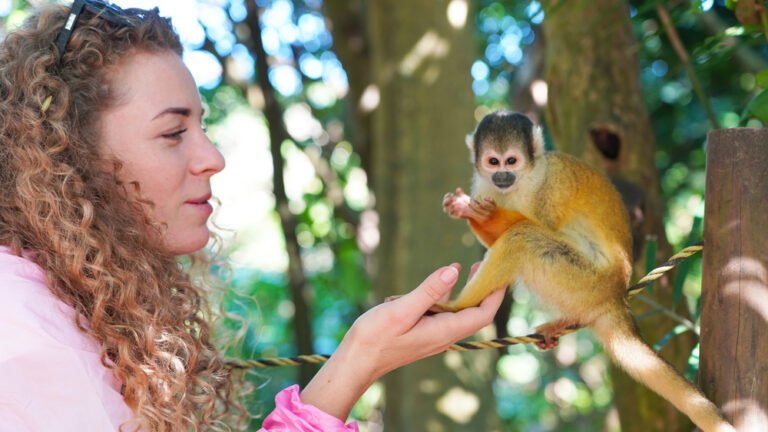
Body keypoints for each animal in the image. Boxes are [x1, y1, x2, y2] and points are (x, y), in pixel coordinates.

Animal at [439, 110, 734, 432]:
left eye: (511, 161)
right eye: (493, 162)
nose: (502, 176)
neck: (521, 182)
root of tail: (616, 296)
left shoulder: (551, 187)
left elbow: (533, 225)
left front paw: (485, 215)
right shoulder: (483, 186)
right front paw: (468, 212)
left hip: (585, 280)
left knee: (524, 237)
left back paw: (454, 308)